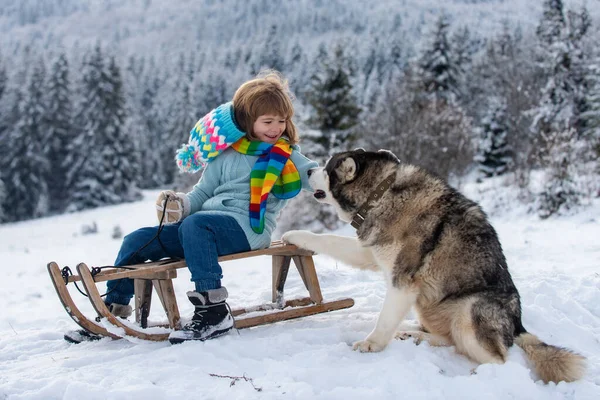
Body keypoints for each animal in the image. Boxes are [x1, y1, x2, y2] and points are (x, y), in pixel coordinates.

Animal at [282, 148, 584, 382]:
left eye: (327, 168)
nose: (308, 171)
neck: (381, 194)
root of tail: (518, 324)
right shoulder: (369, 252)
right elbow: (327, 239)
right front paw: (295, 235)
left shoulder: (402, 282)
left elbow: (384, 319)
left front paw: (372, 343)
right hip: (428, 306)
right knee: (449, 340)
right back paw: (413, 335)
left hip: (470, 309)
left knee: (500, 359)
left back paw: (479, 375)